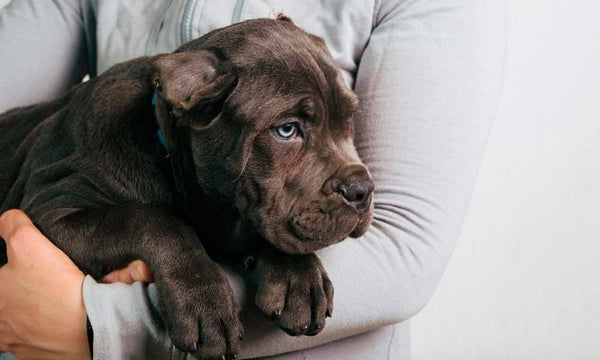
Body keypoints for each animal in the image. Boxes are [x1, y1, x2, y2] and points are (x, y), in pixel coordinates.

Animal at [0, 16, 372, 360]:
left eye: (349, 119)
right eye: (286, 130)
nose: (362, 189)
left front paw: (299, 278)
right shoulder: (55, 207)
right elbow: (149, 219)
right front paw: (203, 299)